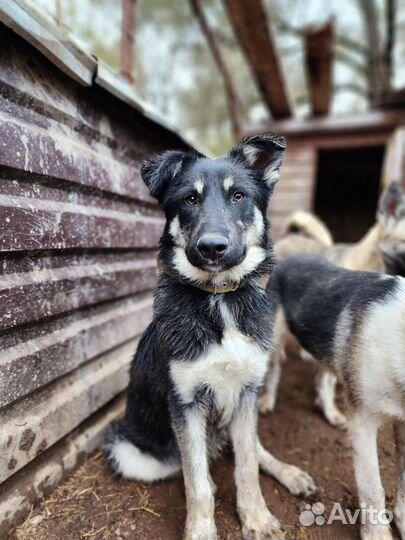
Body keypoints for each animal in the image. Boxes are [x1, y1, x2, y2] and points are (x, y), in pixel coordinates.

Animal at [102, 135, 316, 540]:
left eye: (238, 196)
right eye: (190, 199)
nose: (212, 247)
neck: (219, 299)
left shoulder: (247, 392)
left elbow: (247, 465)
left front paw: (256, 517)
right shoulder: (186, 406)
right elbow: (197, 483)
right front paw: (202, 529)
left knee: (252, 450)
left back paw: (291, 474)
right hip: (127, 451)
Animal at [266, 255, 404, 540]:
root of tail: (289, 258)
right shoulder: (362, 421)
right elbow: (373, 489)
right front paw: (377, 535)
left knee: (323, 379)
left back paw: (330, 414)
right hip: (273, 341)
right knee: (274, 368)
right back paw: (267, 402)